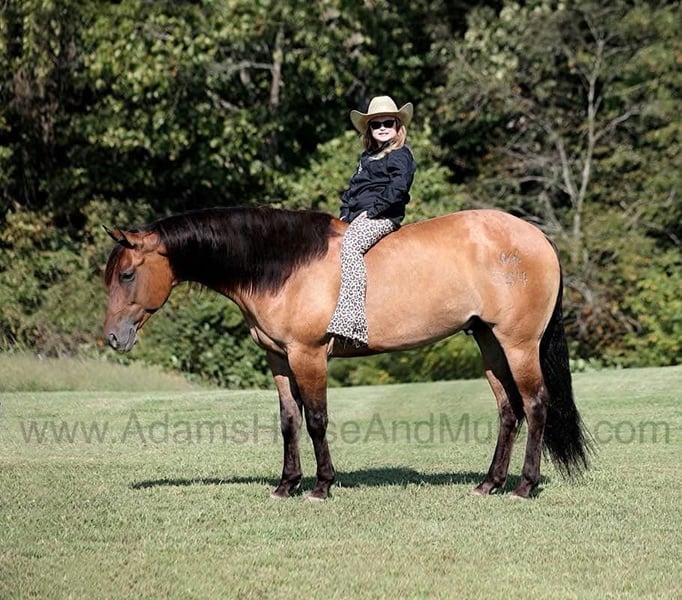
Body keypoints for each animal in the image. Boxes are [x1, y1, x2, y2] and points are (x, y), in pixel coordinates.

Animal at [103, 206, 591, 500]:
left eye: (126, 274)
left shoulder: (309, 356)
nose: (112, 338)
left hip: (519, 344)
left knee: (535, 404)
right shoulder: (278, 360)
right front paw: (286, 484)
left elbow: (316, 420)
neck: (284, 265)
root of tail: (538, 237)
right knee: (509, 410)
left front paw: (321, 486)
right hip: (489, 342)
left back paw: (524, 486)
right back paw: (489, 483)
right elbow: (289, 422)